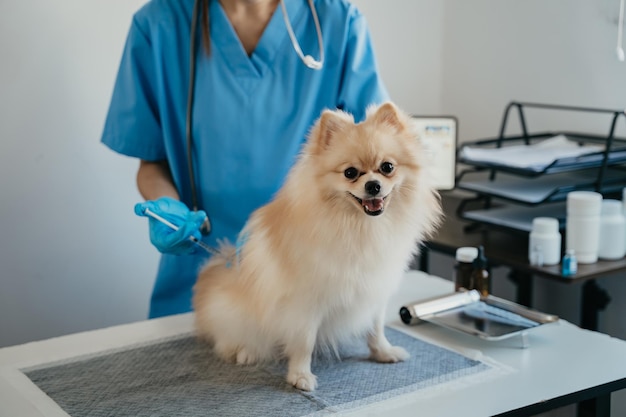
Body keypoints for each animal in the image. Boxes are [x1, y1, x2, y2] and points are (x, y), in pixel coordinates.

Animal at [193, 101, 442, 390]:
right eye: (350, 173)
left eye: (387, 167)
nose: (373, 185)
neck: (360, 228)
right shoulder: (306, 303)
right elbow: (304, 342)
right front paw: (300, 376)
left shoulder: (374, 290)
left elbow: (375, 327)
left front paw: (383, 352)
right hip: (235, 312)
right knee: (230, 337)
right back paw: (244, 351)